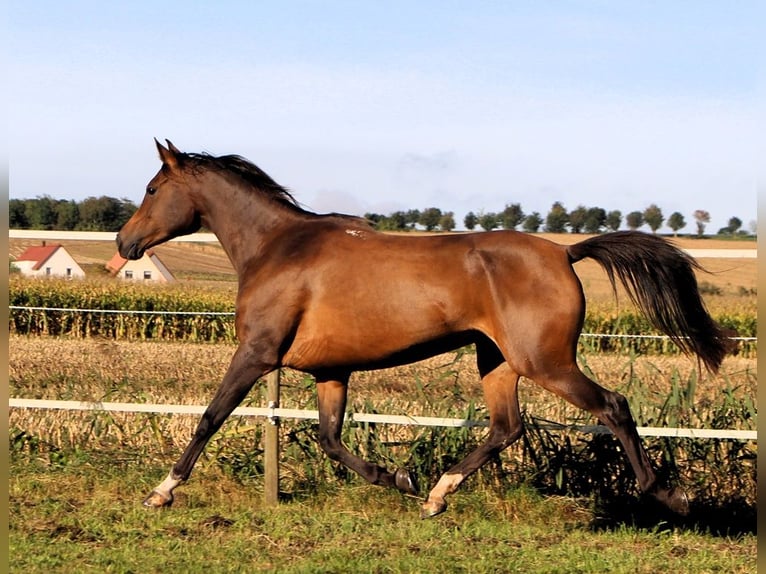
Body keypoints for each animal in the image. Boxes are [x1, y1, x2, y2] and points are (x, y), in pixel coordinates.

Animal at [117, 141, 736, 520]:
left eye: (151, 189)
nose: (126, 243)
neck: (276, 247)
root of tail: (565, 253)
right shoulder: (331, 371)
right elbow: (330, 439)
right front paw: (399, 478)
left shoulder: (256, 352)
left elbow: (211, 415)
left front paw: (161, 491)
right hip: (497, 360)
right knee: (506, 427)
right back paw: (436, 495)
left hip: (546, 361)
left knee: (613, 405)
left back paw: (670, 495)